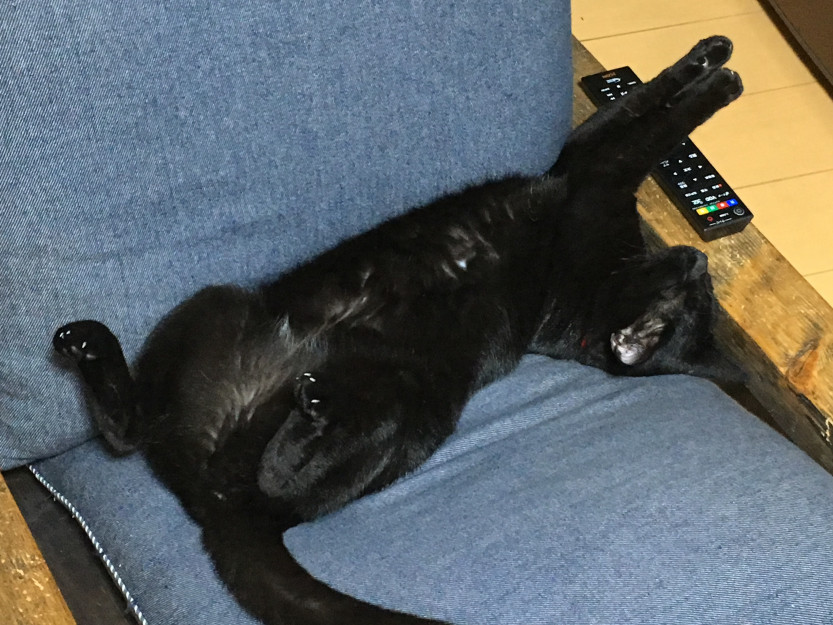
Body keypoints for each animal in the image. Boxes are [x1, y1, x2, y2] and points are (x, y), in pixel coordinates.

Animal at [54, 36, 743, 625]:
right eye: (696, 292)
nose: (698, 260)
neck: (592, 302)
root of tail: (213, 501)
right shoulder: (583, 161)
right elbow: (640, 105)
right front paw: (713, 57)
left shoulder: (598, 174)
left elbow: (654, 127)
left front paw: (721, 83)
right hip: (214, 305)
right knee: (132, 430)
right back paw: (91, 346)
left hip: (404, 403)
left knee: (273, 478)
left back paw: (309, 410)